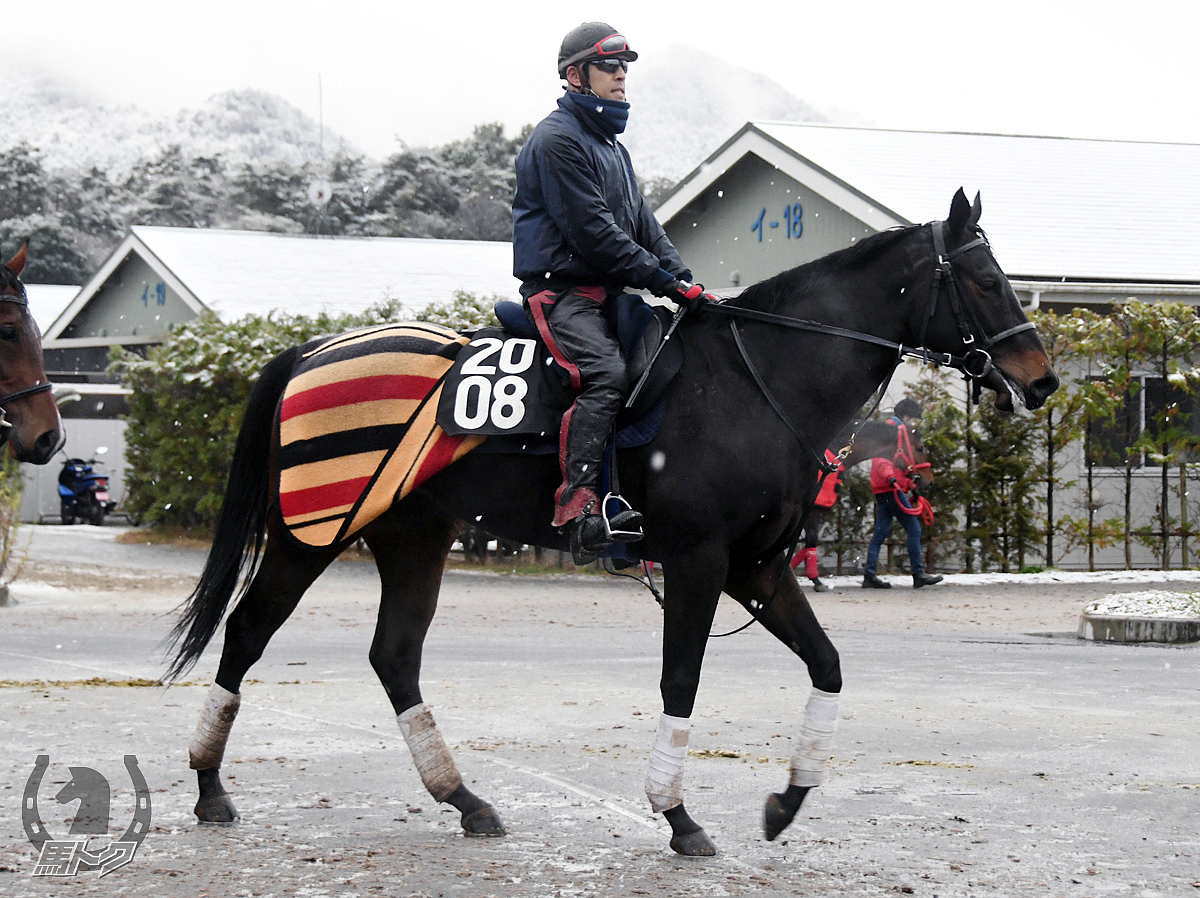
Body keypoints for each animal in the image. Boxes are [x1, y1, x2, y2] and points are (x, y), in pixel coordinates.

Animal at [171, 190, 1060, 854]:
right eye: (984, 278)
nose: (1042, 379)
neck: (759, 379)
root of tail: (313, 349)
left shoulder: (759, 569)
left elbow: (828, 664)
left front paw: (787, 802)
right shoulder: (701, 562)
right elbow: (681, 680)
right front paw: (677, 815)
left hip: (413, 538)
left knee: (394, 657)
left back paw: (465, 798)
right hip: (307, 535)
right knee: (247, 633)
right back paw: (210, 785)